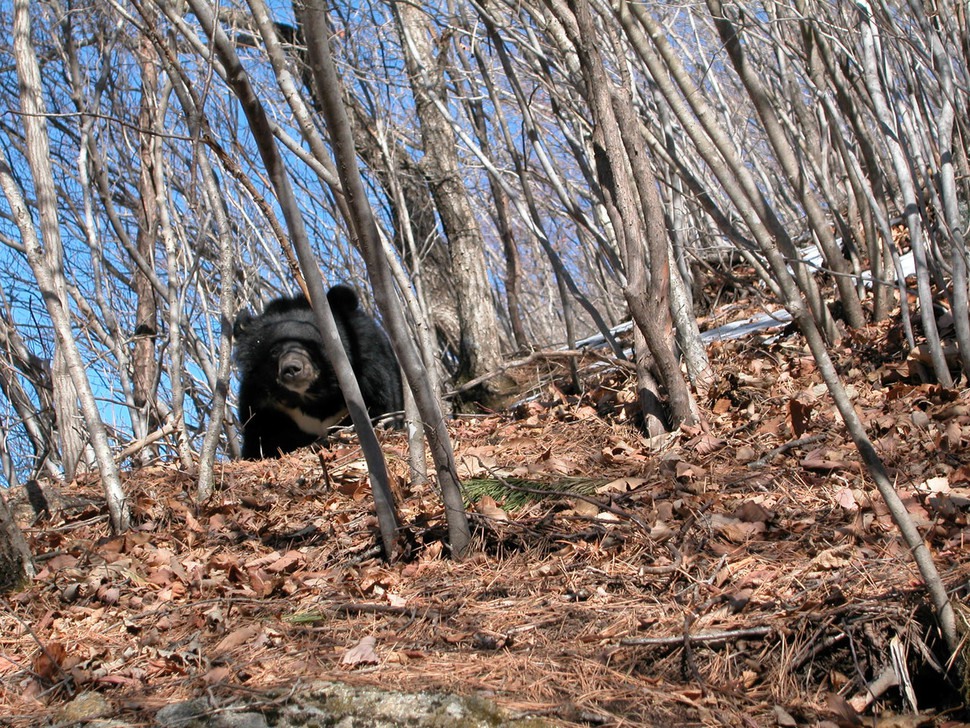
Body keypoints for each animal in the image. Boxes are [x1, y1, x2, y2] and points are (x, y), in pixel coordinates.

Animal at [233, 288, 402, 458]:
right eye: (274, 352)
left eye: (311, 345)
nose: (292, 369)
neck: (311, 397)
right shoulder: (261, 403)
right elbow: (259, 437)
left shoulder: (371, 374)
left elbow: (380, 408)